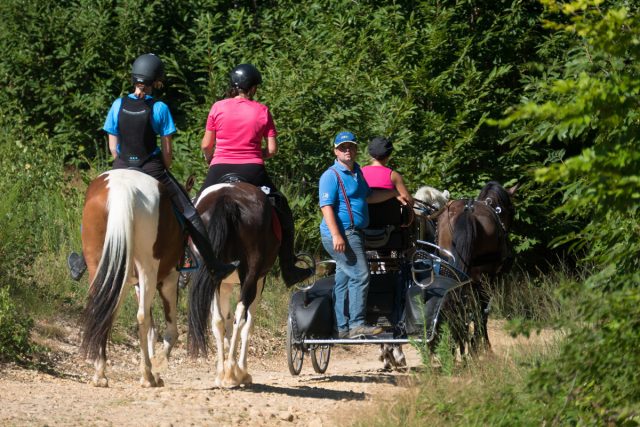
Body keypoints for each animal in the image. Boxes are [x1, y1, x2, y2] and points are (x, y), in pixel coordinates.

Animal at [79, 169, 182, 390]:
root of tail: (123, 188)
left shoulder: (124, 282)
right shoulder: (170, 279)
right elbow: (169, 329)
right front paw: (157, 369)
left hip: (101, 267)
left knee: (100, 310)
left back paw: (100, 374)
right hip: (147, 270)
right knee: (142, 317)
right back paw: (147, 376)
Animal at [189, 182, 282, 390]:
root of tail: (227, 198)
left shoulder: (224, 285)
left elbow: (225, 322)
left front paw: (224, 369)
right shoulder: (259, 280)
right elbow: (247, 325)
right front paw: (242, 371)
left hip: (212, 276)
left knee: (217, 320)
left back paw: (224, 374)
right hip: (251, 276)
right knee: (241, 317)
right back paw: (233, 373)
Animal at [438, 181, 516, 352]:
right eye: (512, 210)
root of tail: (468, 211)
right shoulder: (488, 278)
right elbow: (482, 311)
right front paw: (482, 345)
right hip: (482, 276)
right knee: (478, 310)